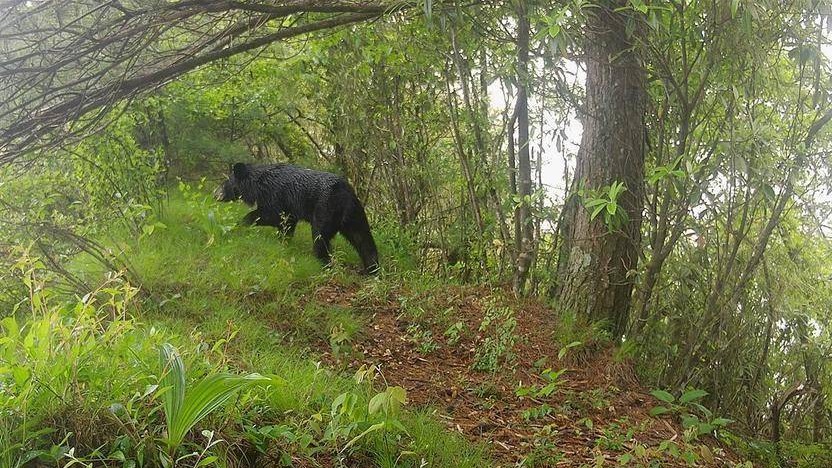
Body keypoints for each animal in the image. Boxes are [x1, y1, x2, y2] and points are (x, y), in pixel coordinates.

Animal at [216, 163, 382, 276]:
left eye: (225, 183)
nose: (215, 193)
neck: (258, 185)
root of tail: (345, 194)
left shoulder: (275, 196)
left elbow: (271, 215)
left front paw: (239, 224)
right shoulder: (289, 208)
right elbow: (287, 225)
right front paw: (284, 243)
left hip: (325, 209)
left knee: (320, 237)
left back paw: (323, 264)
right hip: (355, 215)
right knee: (363, 239)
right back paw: (371, 269)